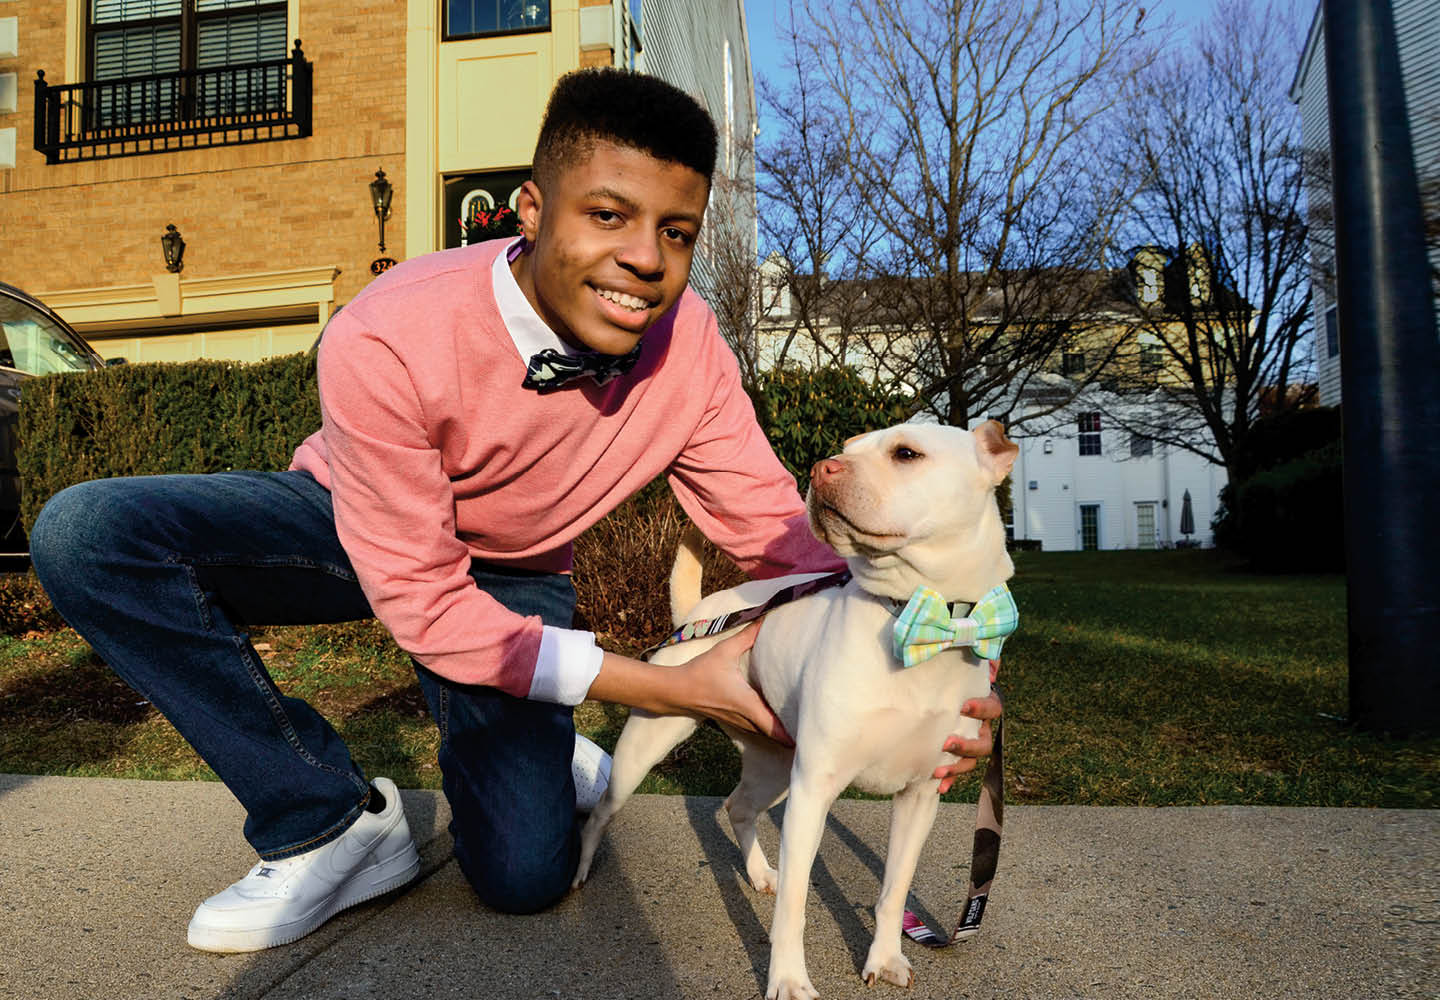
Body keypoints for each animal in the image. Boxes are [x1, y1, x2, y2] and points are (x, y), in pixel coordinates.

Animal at [567, 417, 1019, 997]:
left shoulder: (920, 796)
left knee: (738, 806)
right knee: (603, 809)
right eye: (847, 448)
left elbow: (894, 890)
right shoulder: (813, 790)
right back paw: (581, 869)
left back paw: (760, 873)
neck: (920, 618)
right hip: (650, 745)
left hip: (775, 762)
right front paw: (786, 979)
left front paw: (885, 957)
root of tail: (699, 612)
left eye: (906, 453)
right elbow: (796, 906)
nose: (822, 468)